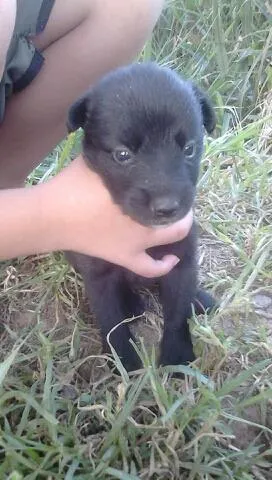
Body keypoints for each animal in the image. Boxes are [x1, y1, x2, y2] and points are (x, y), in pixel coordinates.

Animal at [66, 62, 217, 372]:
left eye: (189, 149)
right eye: (122, 155)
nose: (167, 207)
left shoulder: (181, 259)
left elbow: (177, 313)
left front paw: (177, 356)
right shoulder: (98, 274)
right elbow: (111, 322)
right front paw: (124, 361)